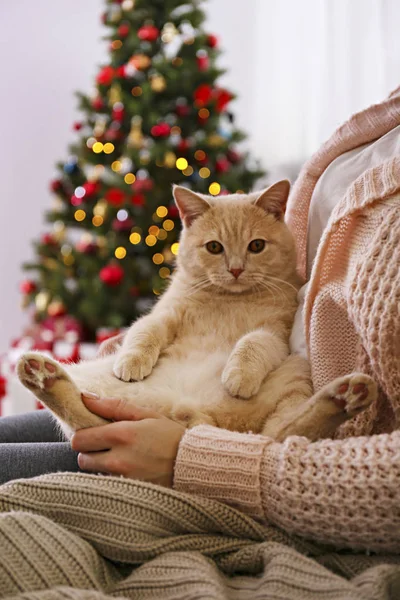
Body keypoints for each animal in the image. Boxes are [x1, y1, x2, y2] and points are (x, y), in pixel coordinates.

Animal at [17, 180, 376, 438]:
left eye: (256, 246)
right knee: (83, 415)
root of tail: (191, 413)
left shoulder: (276, 332)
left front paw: (239, 375)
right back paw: (41, 374)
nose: (235, 269)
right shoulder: (165, 314)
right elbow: (145, 332)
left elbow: (253, 343)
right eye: (214, 247)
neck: (228, 299)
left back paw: (348, 396)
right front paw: (132, 361)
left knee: (282, 432)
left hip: (297, 369)